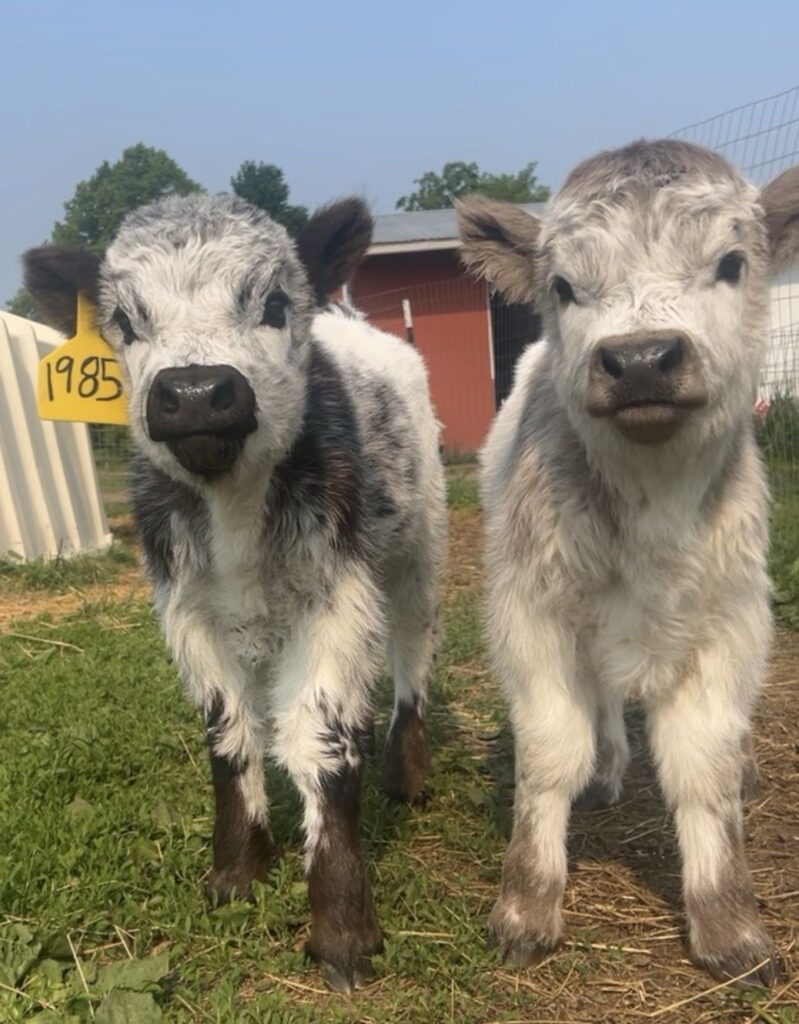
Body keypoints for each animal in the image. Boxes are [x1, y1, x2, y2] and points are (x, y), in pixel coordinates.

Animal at [24, 194, 447, 993]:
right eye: (125, 322)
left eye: (274, 303)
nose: (193, 393)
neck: (235, 515)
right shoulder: (185, 609)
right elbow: (228, 734)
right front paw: (235, 873)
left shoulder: (336, 596)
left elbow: (321, 743)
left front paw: (342, 927)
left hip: (416, 543)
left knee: (413, 651)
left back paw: (406, 773)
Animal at [456, 139, 799, 986]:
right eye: (563, 286)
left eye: (731, 264)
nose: (640, 359)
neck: (650, 509)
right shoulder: (532, 614)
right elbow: (551, 751)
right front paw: (526, 906)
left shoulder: (730, 623)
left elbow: (701, 768)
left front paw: (728, 924)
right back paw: (608, 767)